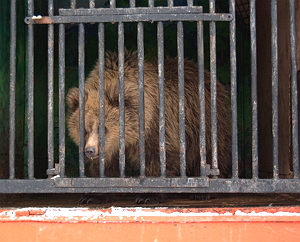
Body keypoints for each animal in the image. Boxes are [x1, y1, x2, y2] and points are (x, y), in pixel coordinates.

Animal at [65, 49, 231, 200]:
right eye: (85, 130)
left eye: (103, 129)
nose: (90, 150)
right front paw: (93, 195)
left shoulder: (158, 126)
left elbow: (157, 158)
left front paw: (149, 195)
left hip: (204, 121)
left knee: (208, 153)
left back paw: (203, 191)